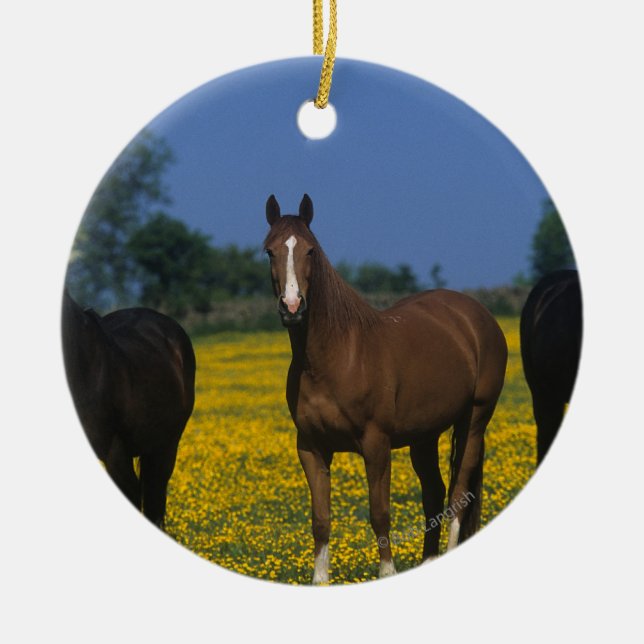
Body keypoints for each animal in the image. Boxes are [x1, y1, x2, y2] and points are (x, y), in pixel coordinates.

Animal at [263, 194, 508, 583]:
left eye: (310, 250)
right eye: (269, 251)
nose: (292, 306)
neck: (333, 358)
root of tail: (475, 315)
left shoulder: (375, 443)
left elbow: (379, 513)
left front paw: (387, 572)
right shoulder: (312, 448)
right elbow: (320, 519)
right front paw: (320, 580)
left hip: (474, 420)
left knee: (458, 495)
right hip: (425, 436)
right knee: (434, 493)